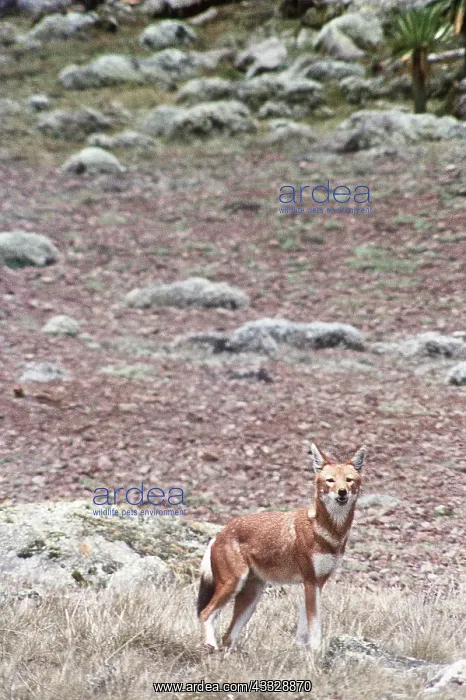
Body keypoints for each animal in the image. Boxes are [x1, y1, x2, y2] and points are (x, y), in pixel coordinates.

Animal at [197, 443, 365, 650]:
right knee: (205, 613)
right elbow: (315, 624)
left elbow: (304, 625)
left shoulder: (317, 583)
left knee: (228, 635)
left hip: (251, 599)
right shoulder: (310, 581)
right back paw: (211, 647)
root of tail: (219, 534)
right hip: (233, 584)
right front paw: (316, 652)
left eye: (349, 480)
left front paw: (302, 650)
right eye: (330, 480)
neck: (328, 532)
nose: (342, 492)